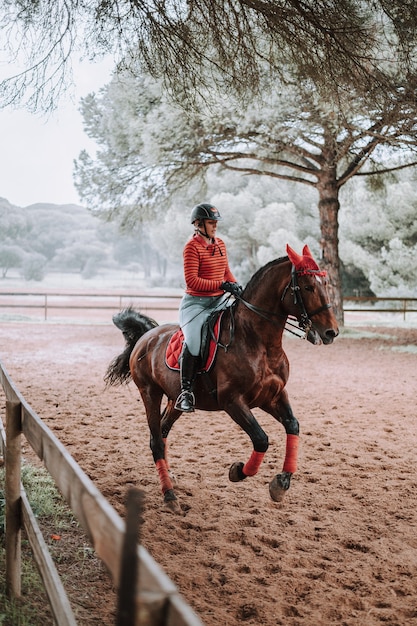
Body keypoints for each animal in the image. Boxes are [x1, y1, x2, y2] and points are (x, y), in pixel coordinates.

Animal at [105, 244, 338, 512]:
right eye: (308, 287)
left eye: (325, 283)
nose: (331, 332)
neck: (259, 342)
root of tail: (147, 336)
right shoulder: (232, 401)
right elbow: (261, 439)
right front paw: (238, 471)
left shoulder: (273, 396)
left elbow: (293, 426)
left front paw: (281, 483)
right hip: (150, 393)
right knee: (155, 440)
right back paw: (170, 496)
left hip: (174, 400)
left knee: (162, 432)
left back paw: (170, 477)